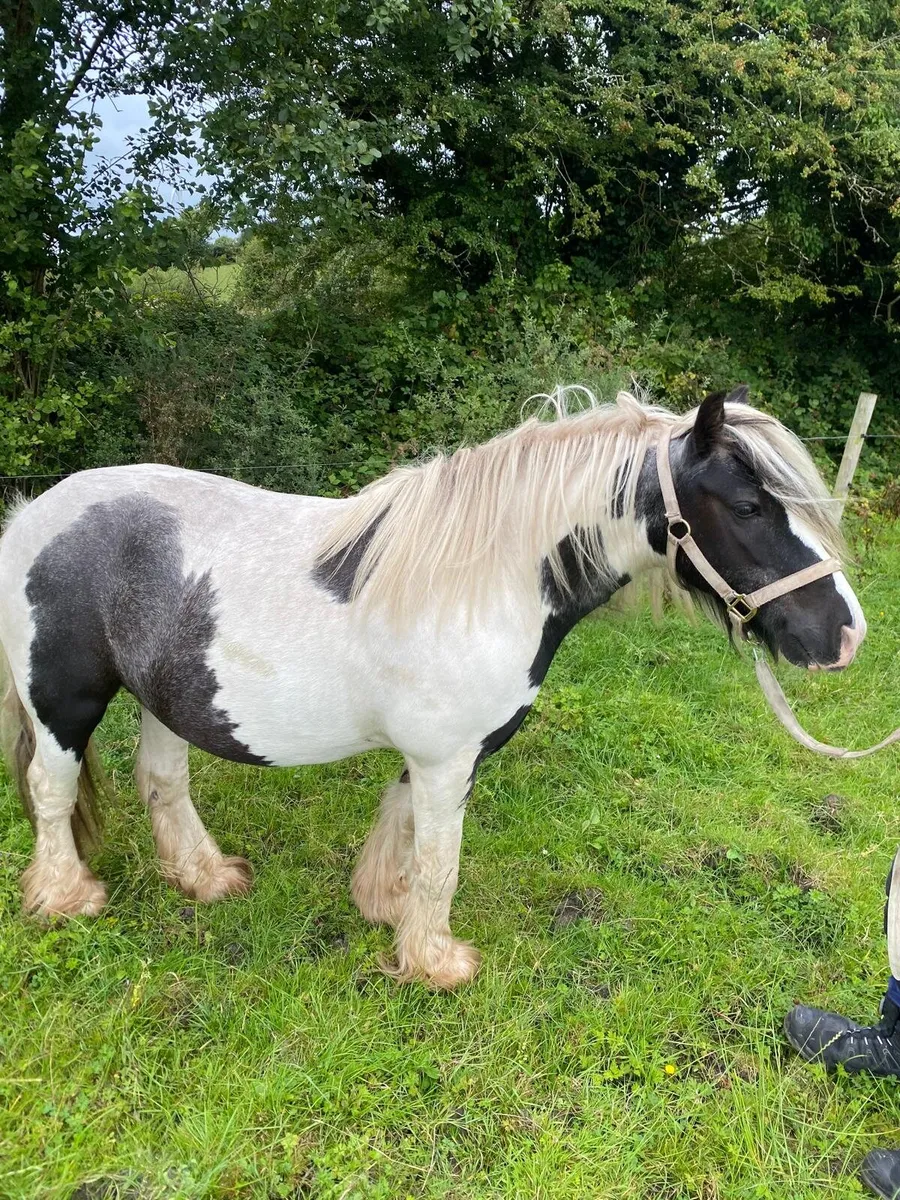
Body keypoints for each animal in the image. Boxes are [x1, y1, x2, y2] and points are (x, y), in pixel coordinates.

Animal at [0, 386, 865, 988]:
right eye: (750, 505)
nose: (845, 635)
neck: (489, 581)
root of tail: (32, 513)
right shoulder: (447, 756)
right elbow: (440, 855)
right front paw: (436, 961)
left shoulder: (443, 753)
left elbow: (405, 823)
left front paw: (385, 907)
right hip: (64, 701)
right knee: (50, 788)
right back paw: (65, 898)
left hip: (162, 697)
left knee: (162, 781)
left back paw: (204, 877)